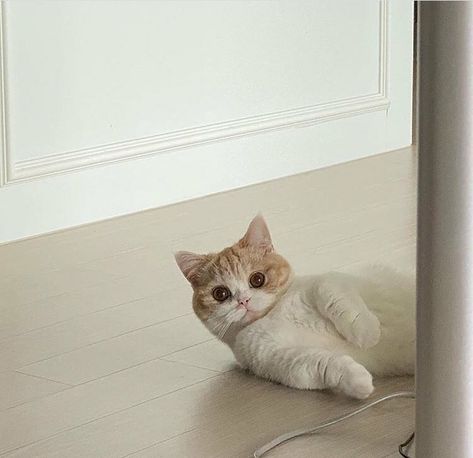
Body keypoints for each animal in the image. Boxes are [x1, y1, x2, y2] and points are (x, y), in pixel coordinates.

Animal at [173, 215, 412, 398]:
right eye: (220, 294)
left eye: (257, 279)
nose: (243, 301)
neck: (274, 315)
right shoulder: (277, 359)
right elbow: (318, 365)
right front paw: (358, 381)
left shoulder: (330, 281)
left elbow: (328, 289)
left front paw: (367, 334)